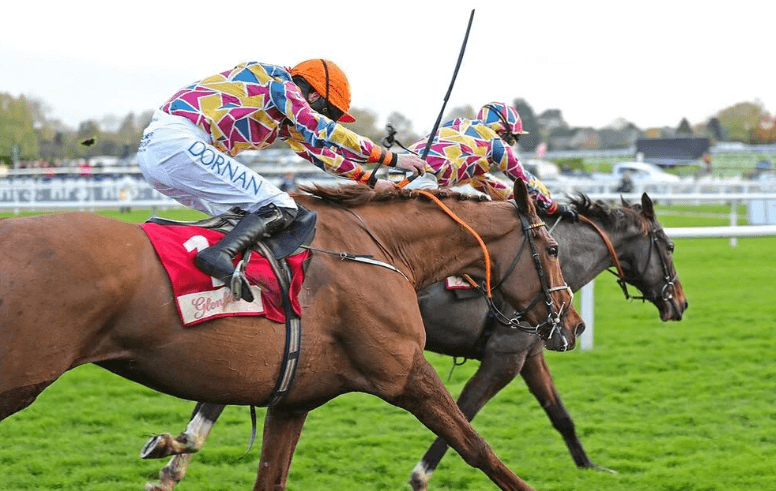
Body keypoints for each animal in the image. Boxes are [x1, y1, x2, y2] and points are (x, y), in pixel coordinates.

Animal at [0, 179, 584, 491]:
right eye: (553, 249)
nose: (573, 325)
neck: (377, 250)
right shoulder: (404, 374)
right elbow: (477, 447)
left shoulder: (292, 401)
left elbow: (270, 476)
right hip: (18, 382)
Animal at [138, 192, 687, 491]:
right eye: (670, 245)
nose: (679, 302)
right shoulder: (504, 356)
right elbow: (464, 415)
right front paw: (422, 474)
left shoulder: (529, 352)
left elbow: (560, 415)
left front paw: (590, 464)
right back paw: (177, 458)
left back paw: (177, 455)